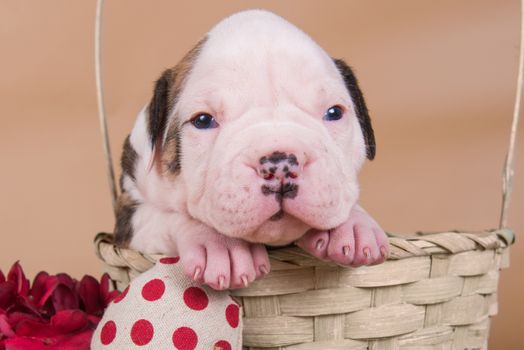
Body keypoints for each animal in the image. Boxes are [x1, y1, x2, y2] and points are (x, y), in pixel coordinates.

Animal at [114, 10, 388, 290]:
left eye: (334, 112)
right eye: (202, 120)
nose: (280, 164)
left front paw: (354, 226)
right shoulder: (128, 218)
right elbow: (167, 216)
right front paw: (219, 244)